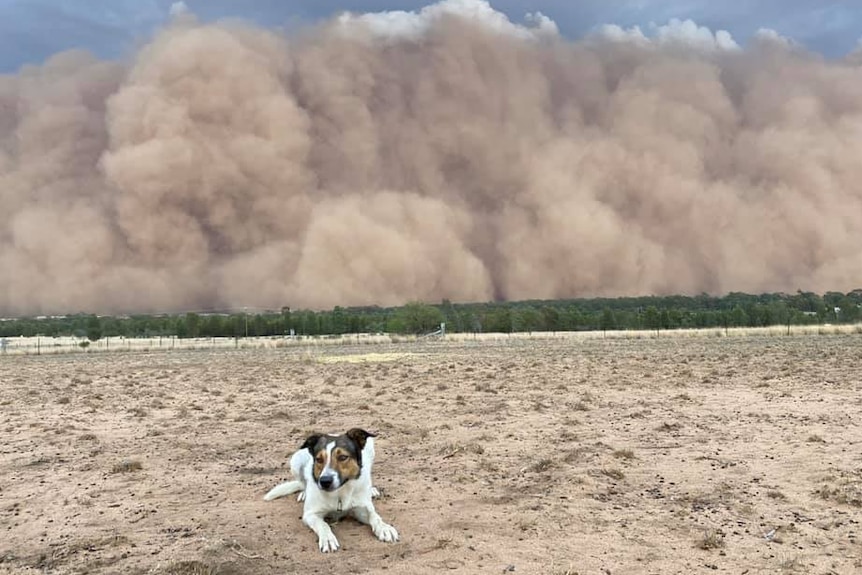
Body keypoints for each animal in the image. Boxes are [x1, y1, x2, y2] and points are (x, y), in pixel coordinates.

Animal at [264, 428, 402, 552]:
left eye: (343, 457)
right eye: (319, 459)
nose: (324, 481)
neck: (339, 493)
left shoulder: (361, 509)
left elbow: (375, 516)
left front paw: (384, 528)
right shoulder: (310, 514)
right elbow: (323, 525)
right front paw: (328, 539)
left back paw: (371, 490)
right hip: (295, 461)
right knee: (302, 482)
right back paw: (304, 493)